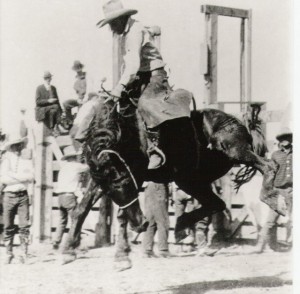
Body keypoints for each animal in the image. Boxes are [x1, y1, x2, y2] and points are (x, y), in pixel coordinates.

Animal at [62, 85, 280, 272]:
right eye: (109, 189)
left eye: (126, 182)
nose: (140, 223)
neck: (127, 135)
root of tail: (241, 124)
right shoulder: (101, 179)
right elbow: (82, 209)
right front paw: (68, 250)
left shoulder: (137, 175)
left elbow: (121, 215)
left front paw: (121, 257)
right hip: (191, 179)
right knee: (215, 203)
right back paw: (182, 227)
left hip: (233, 150)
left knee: (268, 166)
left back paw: (271, 198)